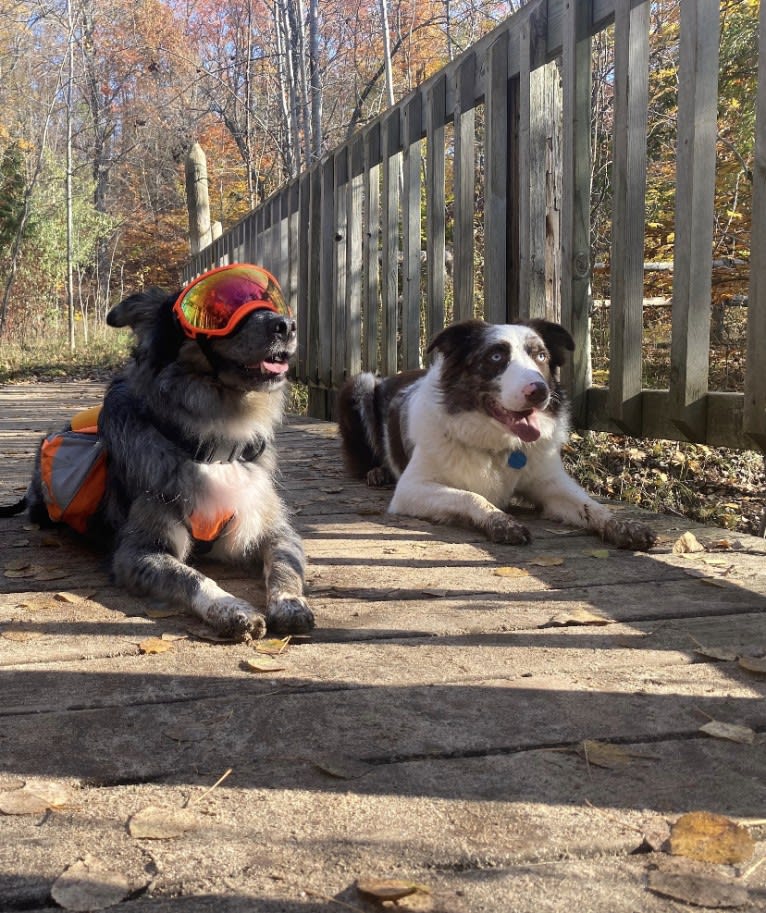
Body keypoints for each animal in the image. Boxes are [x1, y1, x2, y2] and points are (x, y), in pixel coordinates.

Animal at [340, 320, 656, 548]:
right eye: (495, 356)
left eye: (541, 356)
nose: (540, 391)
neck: (498, 444)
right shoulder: (411, 489)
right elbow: (470, 496)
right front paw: (502, 522)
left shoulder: (550, 483)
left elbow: (592, 506)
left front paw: (624, 525)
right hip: (361, 383)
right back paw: (377, 472)